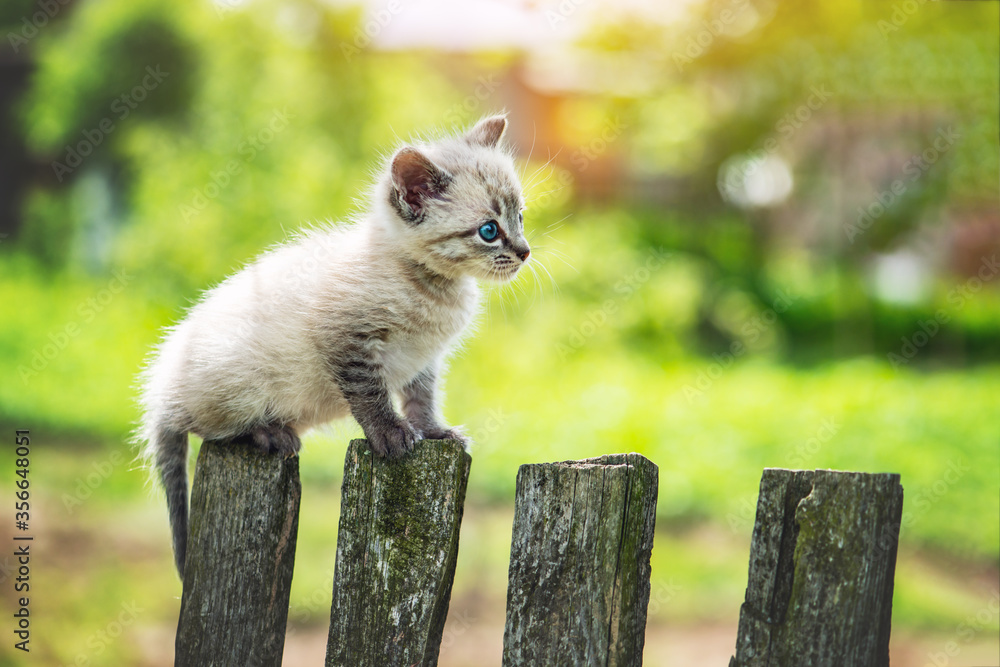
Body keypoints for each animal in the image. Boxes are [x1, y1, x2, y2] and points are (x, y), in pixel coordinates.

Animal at [143, 113, 532, 576]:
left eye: (520, 217)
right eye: (489, 231)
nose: (525, 252)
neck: (433, 288)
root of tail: (162, 392)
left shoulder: (423, 359)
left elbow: (422, 397)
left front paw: (433, 430)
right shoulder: (346, 340)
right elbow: (370, 394)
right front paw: (391, 435)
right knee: (209, 428)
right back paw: (269, 432)